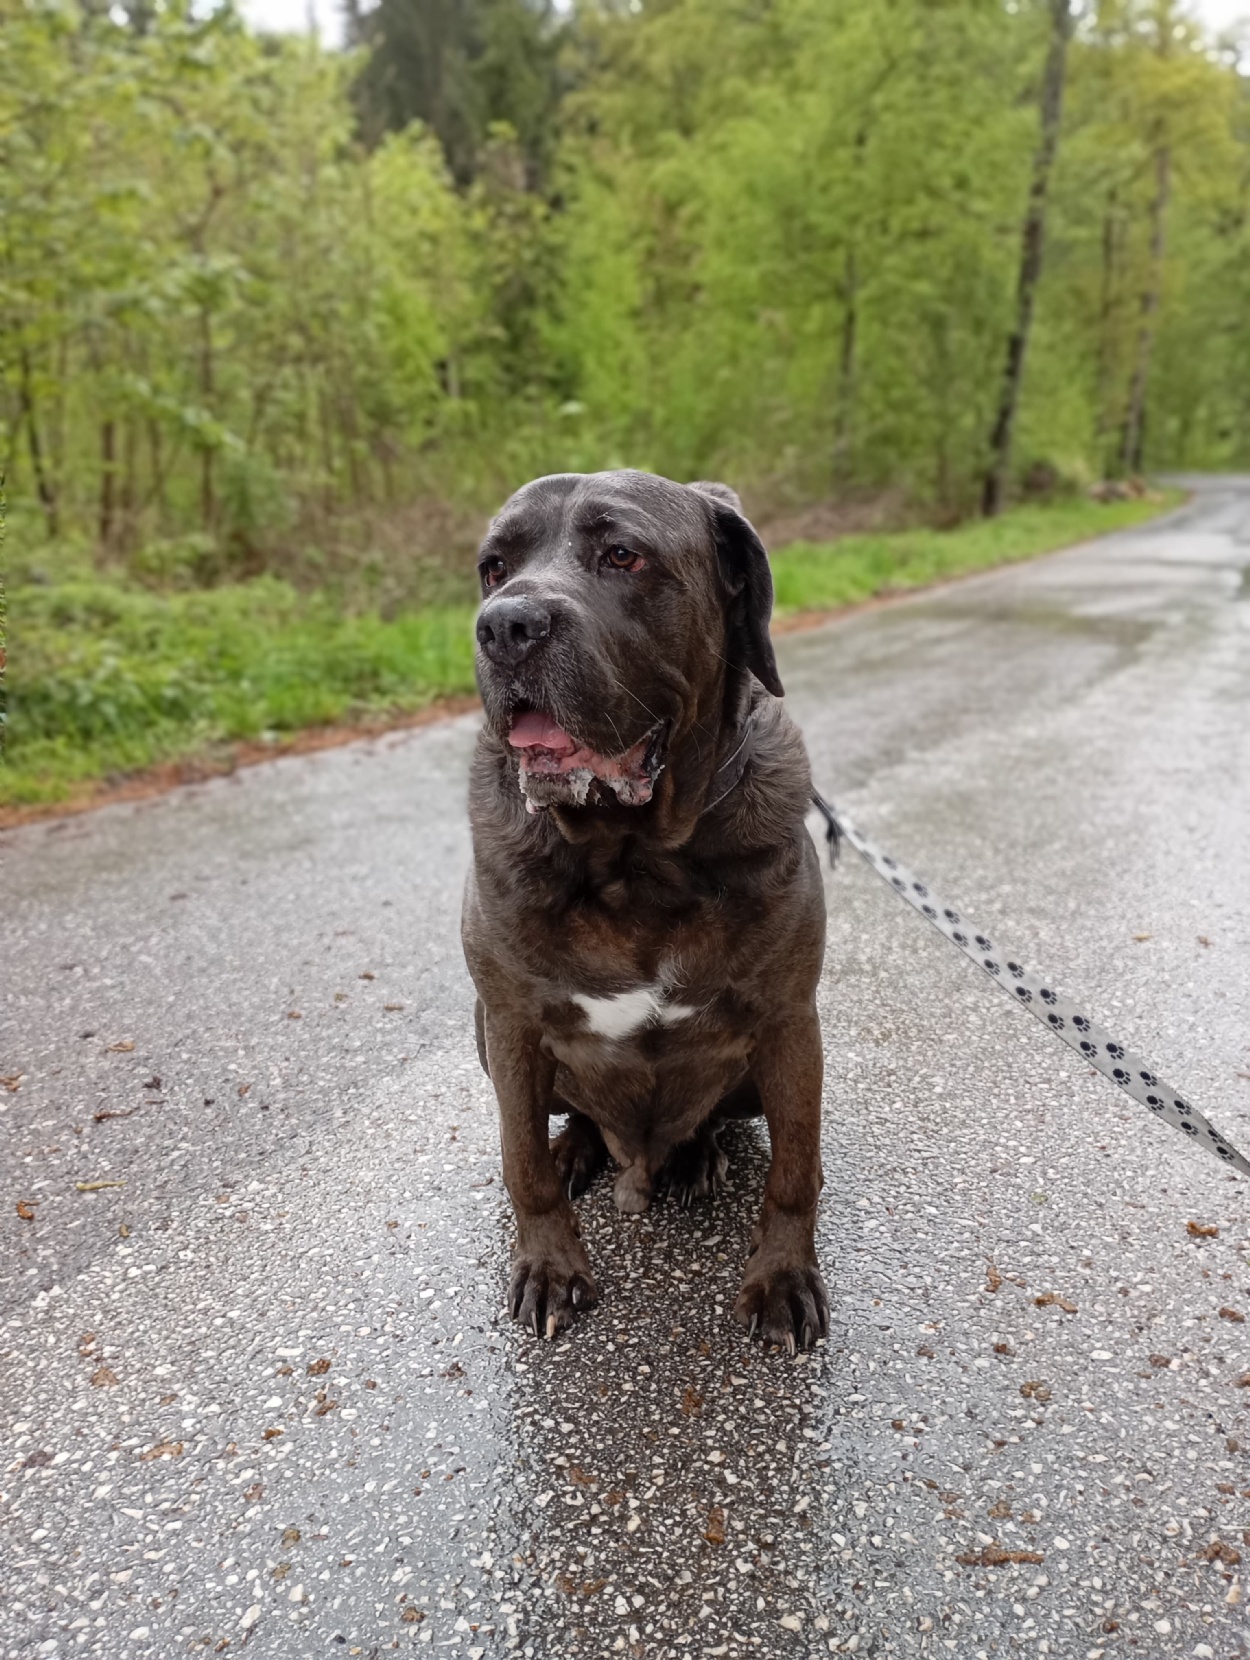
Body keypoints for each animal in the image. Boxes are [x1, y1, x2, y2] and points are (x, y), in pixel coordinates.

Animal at [461, 470, 829, 1350]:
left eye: (622, 555)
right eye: (494, 567)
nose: (505, 626)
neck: (633, 860)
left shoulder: (790, 1023)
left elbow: (796, 1169)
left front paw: (783, 1279)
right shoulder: (510, 1024)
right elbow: (520, 1163)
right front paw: (550, 1267)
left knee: (712, 1123)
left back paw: (695, 1158)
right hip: (486, 1039)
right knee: (564, 1123)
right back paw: (577, 1151)